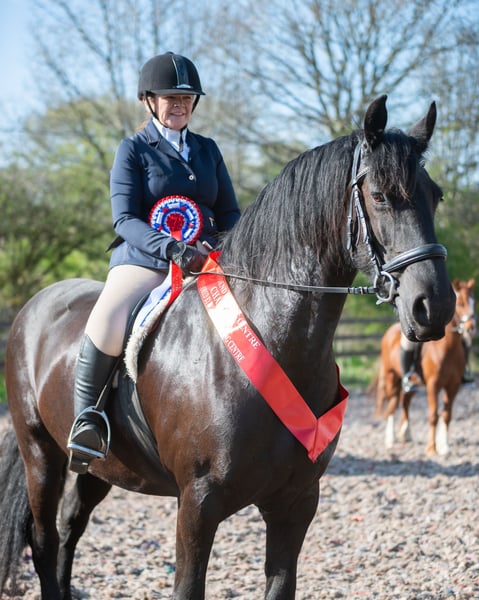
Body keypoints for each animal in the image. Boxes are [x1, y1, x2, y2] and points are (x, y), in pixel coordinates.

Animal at [0, 95, 456, 600]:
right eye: (379, 197)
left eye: (435, 196)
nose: (433, 306)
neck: (275, 342)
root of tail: (36, 304)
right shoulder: (198, 504)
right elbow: (187, 585)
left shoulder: (296, 502)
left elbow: (280, 583)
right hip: (41, 452)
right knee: (44, 539)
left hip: (100, 467)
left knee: (70, 530)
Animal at [374, 278, 476, 456]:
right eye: (461, 303)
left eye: (473, 302)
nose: (471, 328)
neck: (447, 348)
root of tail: (389, 333)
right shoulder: (433, 386)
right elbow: (433, 415)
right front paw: (431, 449)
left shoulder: (453, 386)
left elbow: (447, 415)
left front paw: (444, 447)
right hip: (391, 377)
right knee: (393, 404)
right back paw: (390, 439)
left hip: (413, 384)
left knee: (405, 402)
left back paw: (406, 434)